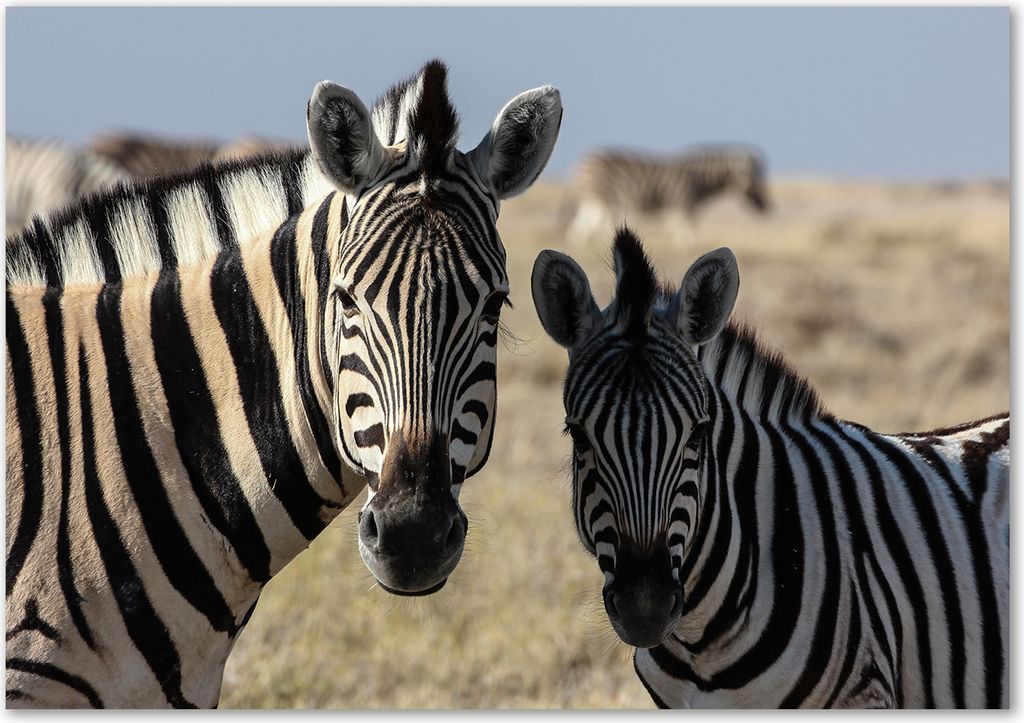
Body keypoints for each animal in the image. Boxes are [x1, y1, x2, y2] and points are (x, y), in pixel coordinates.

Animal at [563, 146, 769, 245]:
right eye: (756, 179)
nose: (767, 207)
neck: (699, 179)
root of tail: (585, 159)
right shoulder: (682, 202)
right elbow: (685, 230)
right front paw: (688, 247)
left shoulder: (683, 206)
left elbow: (683, 229)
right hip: (598, 196)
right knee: (592, 221)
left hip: (594, 199)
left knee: (586, 222)